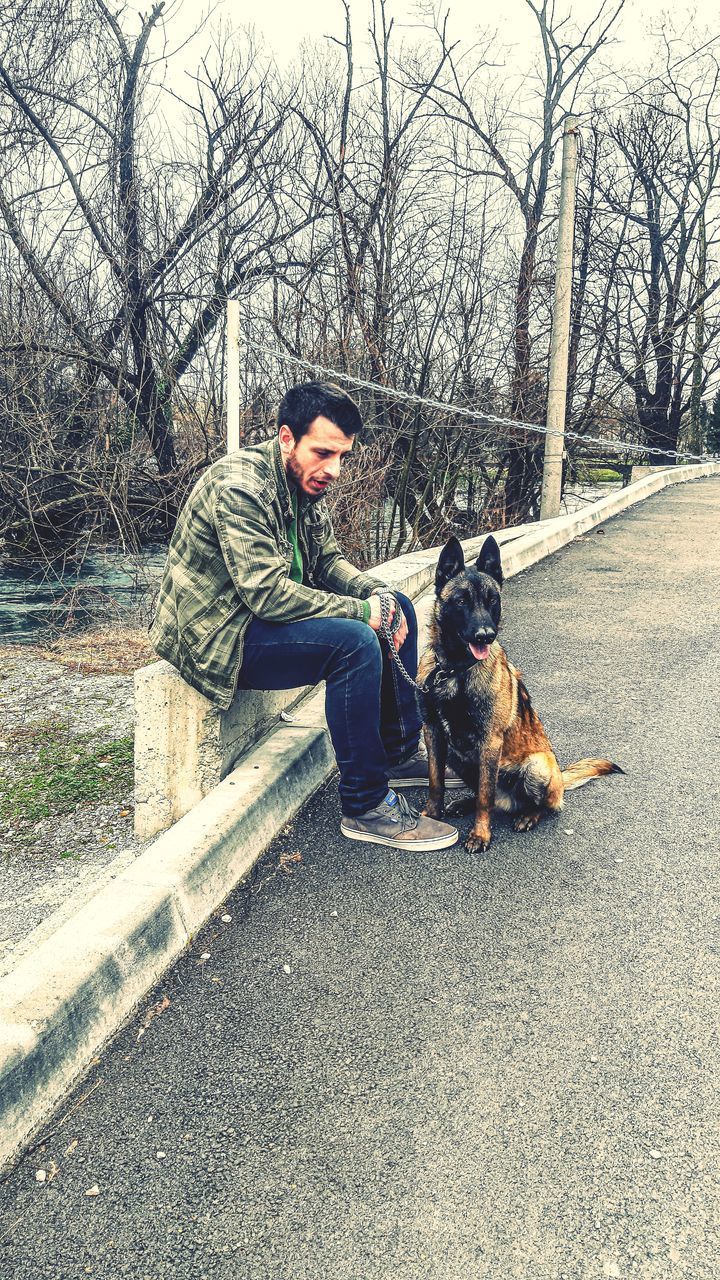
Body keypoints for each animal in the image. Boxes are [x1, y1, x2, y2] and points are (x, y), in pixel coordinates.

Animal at [417, 535, 620, 855]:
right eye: (461, 601)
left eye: (493, 600)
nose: (486, 635)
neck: (455, 669)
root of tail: (560, 774)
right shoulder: (433, 732)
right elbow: (435, 781)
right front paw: (431, 816)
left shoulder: (490, 741)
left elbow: (485, 795)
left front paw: (481, 835)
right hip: (457, 756)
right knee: (485, 795)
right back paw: (465, 803)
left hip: (537, 767)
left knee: (539, 805)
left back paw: (528, 816)